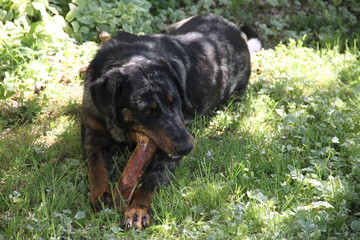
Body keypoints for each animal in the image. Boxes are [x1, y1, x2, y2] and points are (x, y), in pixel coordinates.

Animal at [81, 13, 262, 231]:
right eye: (147, 111)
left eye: (174, 100)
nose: (187, 147)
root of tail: (238, 34)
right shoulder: (92, 130)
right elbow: (96, 165)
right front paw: (101, 194)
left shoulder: (168, 150)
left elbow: (154, 178)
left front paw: (137, 210)